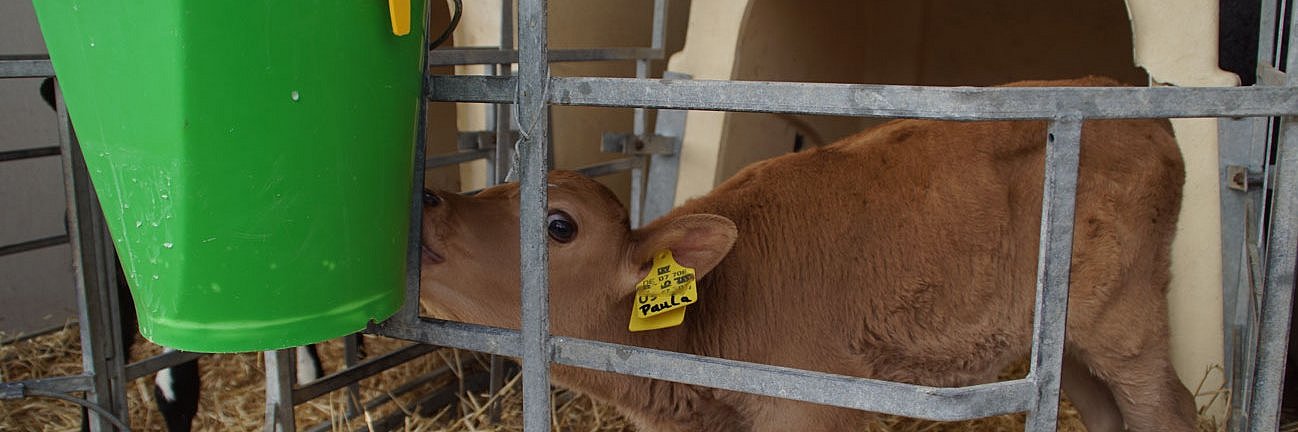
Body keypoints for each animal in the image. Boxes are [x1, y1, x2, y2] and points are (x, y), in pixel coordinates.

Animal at [417, 78, 1194, 430]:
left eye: (559, 225)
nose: (426, 200)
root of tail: (1132, 98)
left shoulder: (815, 408)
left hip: (1125, 321)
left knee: (1169, 409)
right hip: (1071, 341)